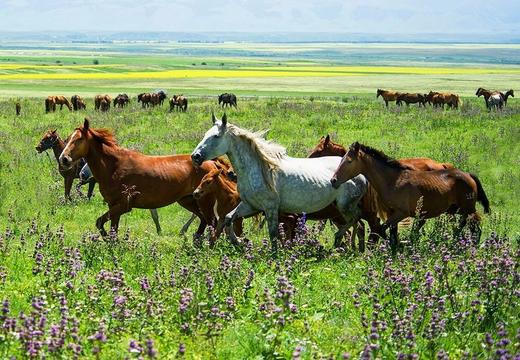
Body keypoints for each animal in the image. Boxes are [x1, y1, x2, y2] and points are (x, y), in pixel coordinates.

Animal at [60, 117, 220, 236]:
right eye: (68, 139)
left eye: (79, 139)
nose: (64, 159)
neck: (115, 167)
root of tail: (213, 164)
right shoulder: (114, 206)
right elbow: (110, 228)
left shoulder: (123, 206)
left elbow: (101, 223)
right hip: (187, 201)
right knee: (204, 220)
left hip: (202, 202)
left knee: (212, 221)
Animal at [190, 114, 366, 255]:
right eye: (205, 135)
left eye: (216, 136)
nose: (195, 156)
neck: (258, 169)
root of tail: (362, 175)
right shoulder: (250, 206)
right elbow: (227, 219)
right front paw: (238, 243)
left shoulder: (270, 208)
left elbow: (273, 233)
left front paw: (274, 257)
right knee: (359, 225)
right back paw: (358, 250)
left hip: (345, 207)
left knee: (356, 220)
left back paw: (341, 241)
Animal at [332, 142, 490, 249]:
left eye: (349, 161)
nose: (333, 180)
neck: (393, 180)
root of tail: (468, 175)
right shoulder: (392, 212)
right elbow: (389, 231)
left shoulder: (402, 213)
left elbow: (382, 229)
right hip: (455, 209)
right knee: (470, 224)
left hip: (466, 208)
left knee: (471, 224)